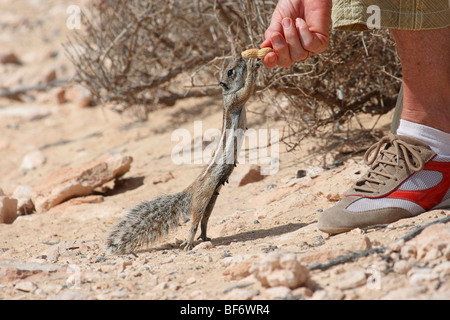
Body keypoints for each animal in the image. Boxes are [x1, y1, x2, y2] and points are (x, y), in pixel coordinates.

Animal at [105, 56, 258, 254]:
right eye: (230, 71)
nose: (240, 57)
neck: (226, 93)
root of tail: (190, 190)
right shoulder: (235, 100)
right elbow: (247, 90)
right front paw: (253, 66)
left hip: (212, 199)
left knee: (204, 220)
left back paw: (204, 236)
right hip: (202, 197)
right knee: (194, 221)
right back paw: (189, 242)